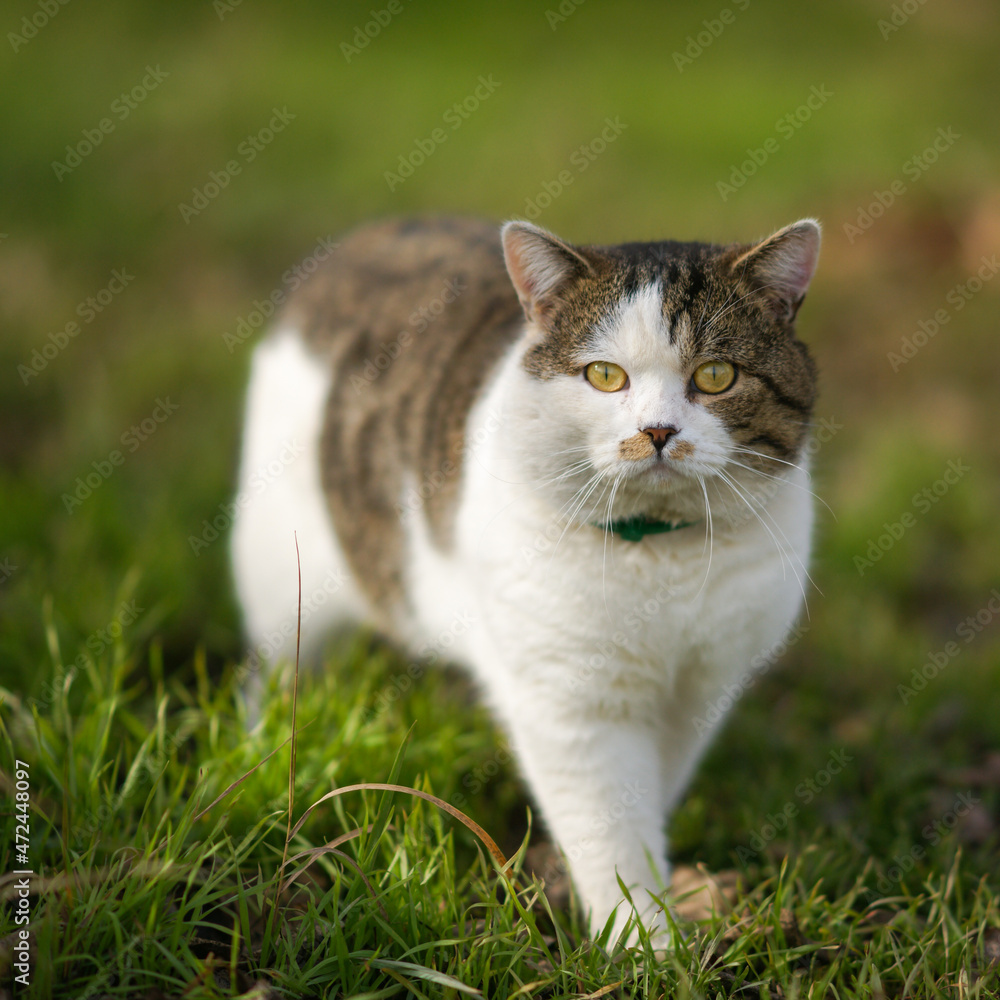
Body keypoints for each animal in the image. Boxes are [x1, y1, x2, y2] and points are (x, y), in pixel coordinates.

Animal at [232, 215, 820, 940]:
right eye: (604, 375)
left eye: (715, 375)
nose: (658, 431)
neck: (659, 558)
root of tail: (360, 236)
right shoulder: (569, 702)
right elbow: (609, 830)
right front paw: (642, 944)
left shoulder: (700, 690)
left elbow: (652, 796)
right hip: (280, 583)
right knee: (274, 672)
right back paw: (259, 748)